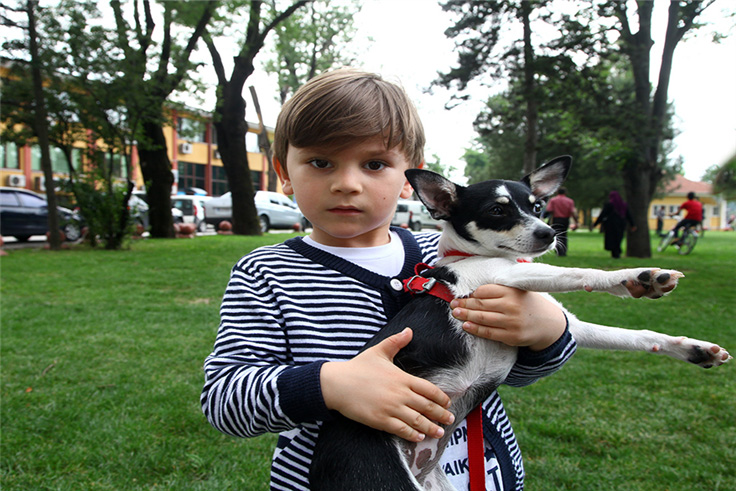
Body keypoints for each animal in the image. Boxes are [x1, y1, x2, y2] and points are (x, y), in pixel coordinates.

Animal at [310, 157, 732, 491]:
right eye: (497, 211)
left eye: (538, 206)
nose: (550, 233)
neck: (469, 258)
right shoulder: (507, 277)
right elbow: (583, 273)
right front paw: (636, 276)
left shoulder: (569, 323)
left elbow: (635, 336)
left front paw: (691, 347)